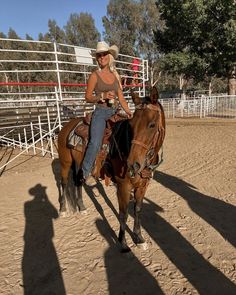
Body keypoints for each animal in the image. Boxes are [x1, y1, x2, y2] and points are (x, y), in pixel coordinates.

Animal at [57, 86, 165, 253]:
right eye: (131, 126)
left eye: (152, 125)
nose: (133, 164)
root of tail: (67, 126)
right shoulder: (123, 186)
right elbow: (123, 214)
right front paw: (123, 243)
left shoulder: (143, 186)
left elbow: (138, 210)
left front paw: (139, 239)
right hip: (65, 163)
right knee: (63, 182)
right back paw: (62, 210)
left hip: (79, 165)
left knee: (78, 182)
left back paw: (82, 207)